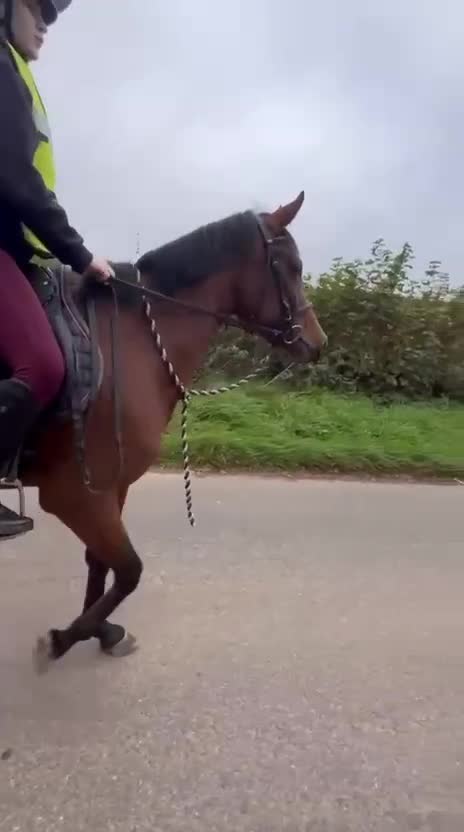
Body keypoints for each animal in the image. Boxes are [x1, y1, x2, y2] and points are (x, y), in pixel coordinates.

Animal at [2, 190, 328, 672]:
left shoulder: (110, 488)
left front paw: (100, 630)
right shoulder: (74, 495)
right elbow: (130, 570)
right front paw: (63, 639)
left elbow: (103, 563)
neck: (132, 342)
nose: (316, 343)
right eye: (291, 266)